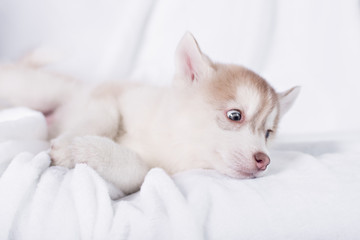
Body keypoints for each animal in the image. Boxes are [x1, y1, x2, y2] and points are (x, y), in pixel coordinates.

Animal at [0, 33, 300, 195]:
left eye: (268, 133)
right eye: (235, 115)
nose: (264, 160)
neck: (173, 140)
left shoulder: (152, 171)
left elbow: (138, 167)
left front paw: (83, 151)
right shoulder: (108, 93)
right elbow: (105, 116)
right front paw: (71, 142)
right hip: (39, 90)